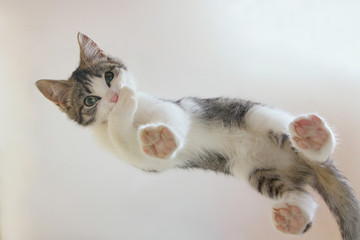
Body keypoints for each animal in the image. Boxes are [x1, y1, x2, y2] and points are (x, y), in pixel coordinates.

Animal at [35, 32, 360, 239]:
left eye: (109, 76)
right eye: (90, 101)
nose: (114, 96)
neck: (138, 119)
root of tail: (304, 165)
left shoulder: (173, 109)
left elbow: (174, 120)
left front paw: (157, 133)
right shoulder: (139, 160)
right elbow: (127, 141)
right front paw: (140, 129)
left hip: (256, 115)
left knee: (309, 145)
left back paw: (315, 138)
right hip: (253, 171)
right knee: (302, 196)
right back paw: (295, 217)